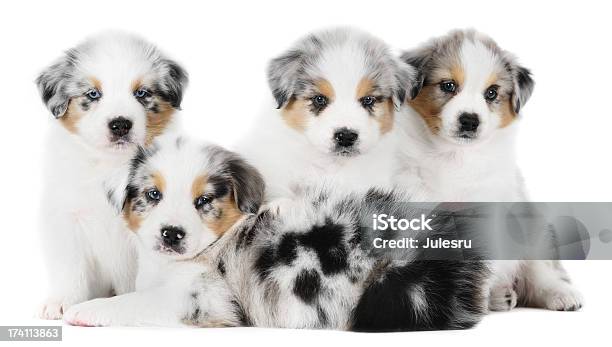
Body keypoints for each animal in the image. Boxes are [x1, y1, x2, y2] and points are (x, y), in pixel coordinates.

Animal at [35, 32, 188, 320]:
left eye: (141, 93)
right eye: (93, 94)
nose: (120, 125)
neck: (110, 165)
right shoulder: (68, 217)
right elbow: (71, 265)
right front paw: (61, 302)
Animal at [64, 135, 490, 332]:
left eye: (204, 201)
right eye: (153, 195)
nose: (172, 234)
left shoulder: (204, 300)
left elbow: (135, 302)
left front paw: (85, 310)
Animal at [396, 29, 584, 312]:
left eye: (492, 93)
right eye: (448, 85)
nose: (469, 121)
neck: (455, 156)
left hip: (534, 233)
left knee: (538, 273)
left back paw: (558, 294)